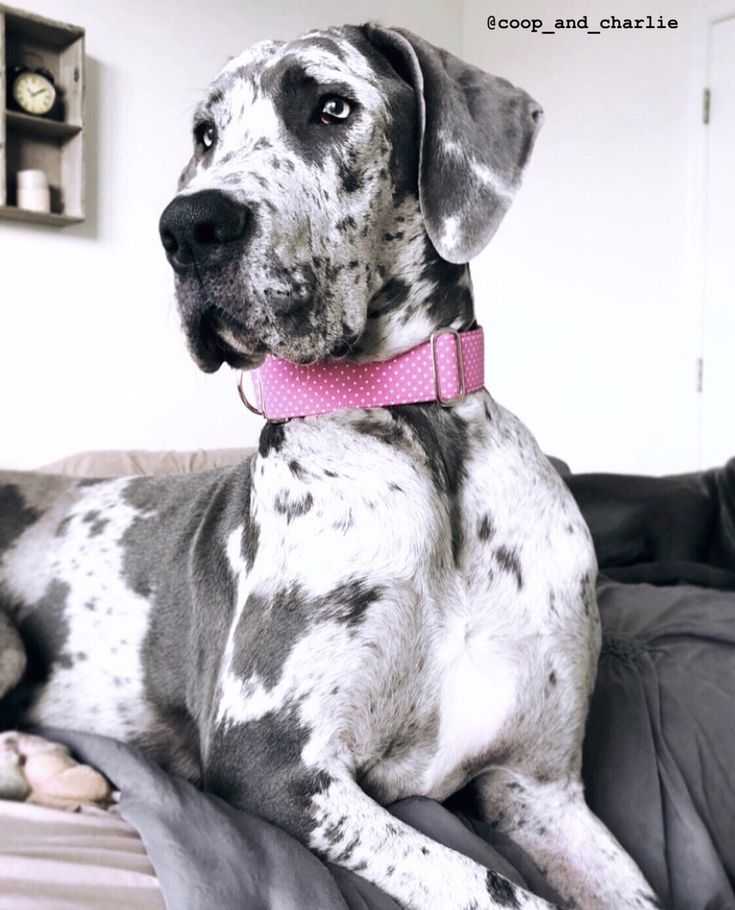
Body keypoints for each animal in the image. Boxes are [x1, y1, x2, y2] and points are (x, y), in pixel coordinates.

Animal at [0, 23, 664, 910]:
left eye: (332, 107)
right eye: (206, 134)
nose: (186, 227)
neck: (421, 434)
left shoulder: (544, 791)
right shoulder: (273, 763)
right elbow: (494, 887)